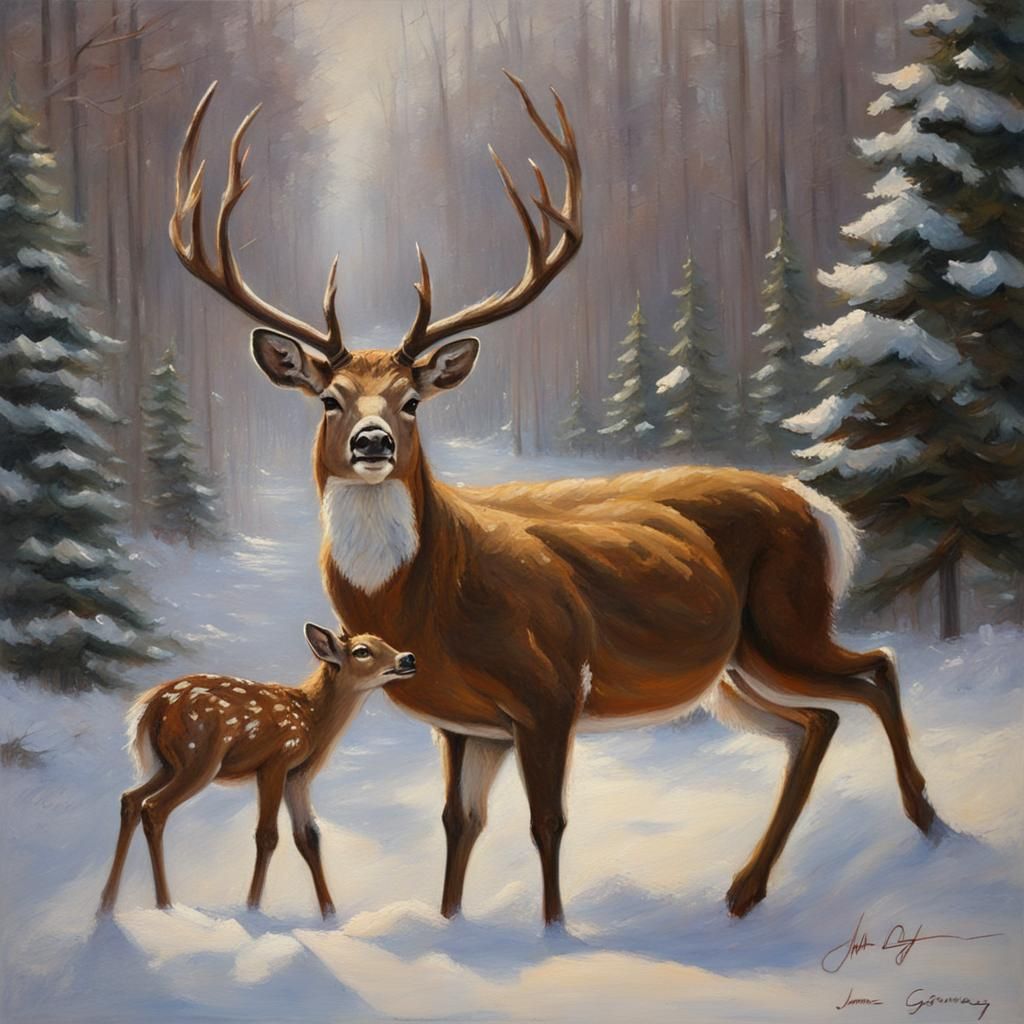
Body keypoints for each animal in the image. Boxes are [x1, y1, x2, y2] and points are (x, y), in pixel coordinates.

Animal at [98, 623, 416, 918]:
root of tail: (152, 707)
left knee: (130, 799)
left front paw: (329, 913)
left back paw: (106, 905)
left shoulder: (297, 774)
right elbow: (267, 835)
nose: (408, 658)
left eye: (384, 642)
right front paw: (252, 907)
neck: (312, 720)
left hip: (168, 764)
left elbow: (308, 837)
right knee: (154, 807)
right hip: (199, 757)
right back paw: (164, 905)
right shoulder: (276, 760)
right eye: (362, 651)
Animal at [169, 73, 938, 928]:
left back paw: (924, 821)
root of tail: (819, 509)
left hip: (785, 620)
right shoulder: (464, 722)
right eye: (330, 399)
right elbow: (458, 822)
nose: (373, 443)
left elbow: (548, 821)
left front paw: (553, 929)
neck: (427, 596)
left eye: (411, 401)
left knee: (875, 670)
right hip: (734, 669)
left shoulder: (551, 689)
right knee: (816, 721)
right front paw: (452, 920)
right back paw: (746, 889)